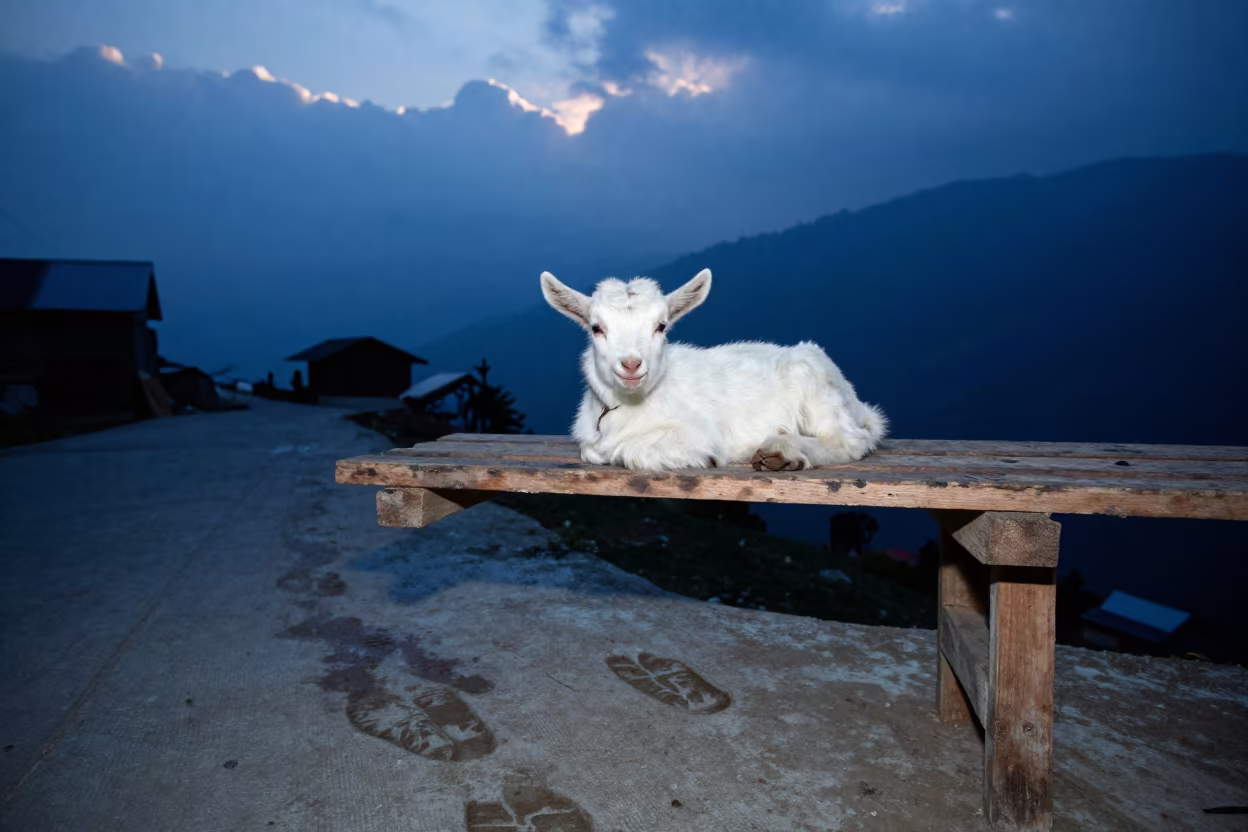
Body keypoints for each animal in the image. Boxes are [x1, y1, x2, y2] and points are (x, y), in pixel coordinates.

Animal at [540, 268, 887, 472]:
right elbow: (589, 450)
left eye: (661, 326)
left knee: (849, 440)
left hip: (814, 384)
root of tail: (858, 404)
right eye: (596, 328)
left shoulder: (697, 432)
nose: (631, 364)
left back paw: (782, 452)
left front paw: (710, 456)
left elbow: (628, 450)